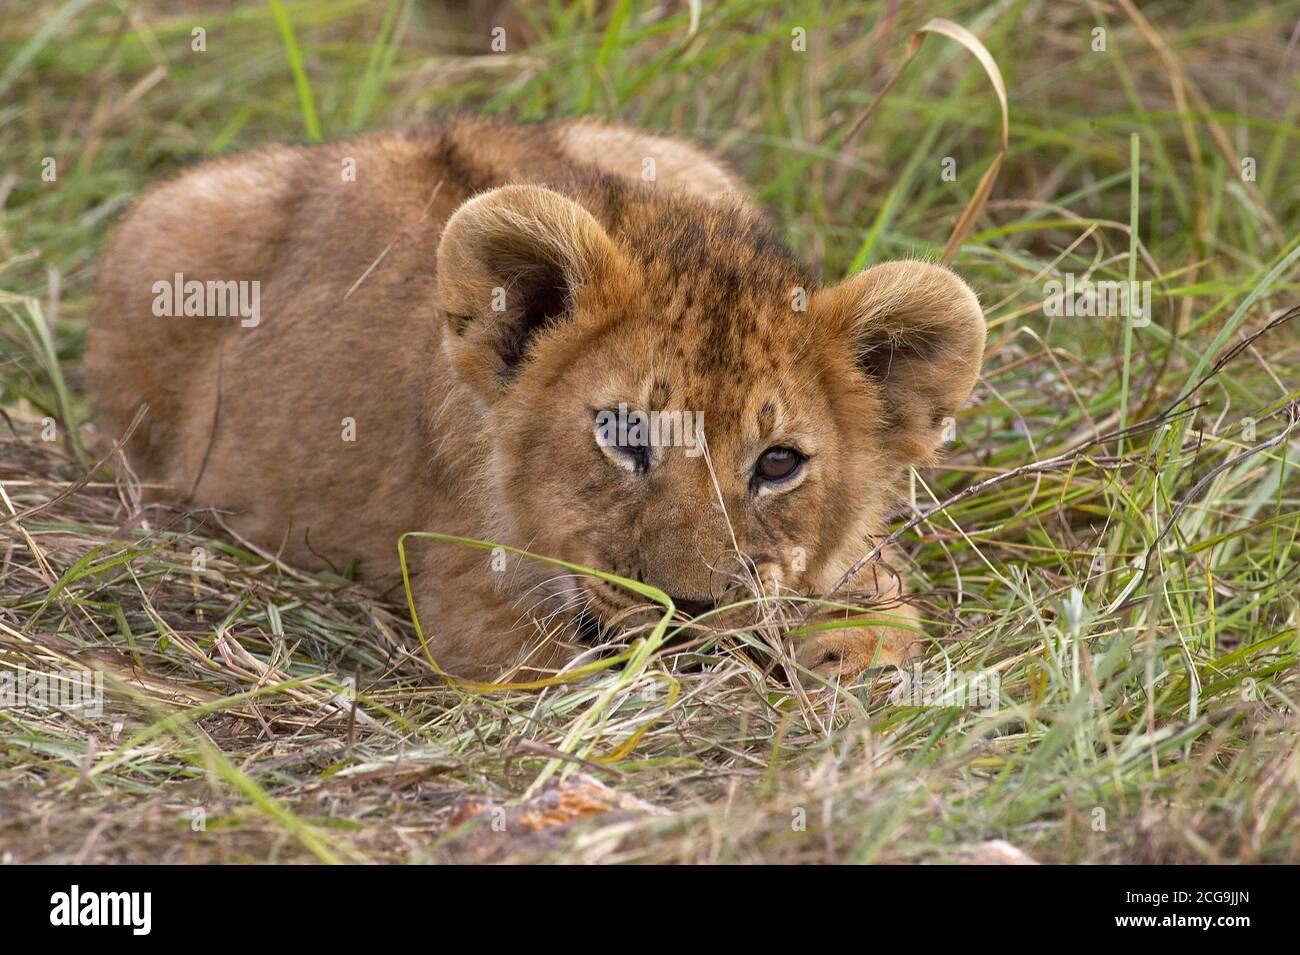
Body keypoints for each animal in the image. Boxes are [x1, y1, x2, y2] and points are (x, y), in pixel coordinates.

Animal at [87, 115, 986, 681]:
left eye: (778, 463)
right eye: (622, 433)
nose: (689, 607)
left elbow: (877, 596)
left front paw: (848, 648)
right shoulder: (471, 607)